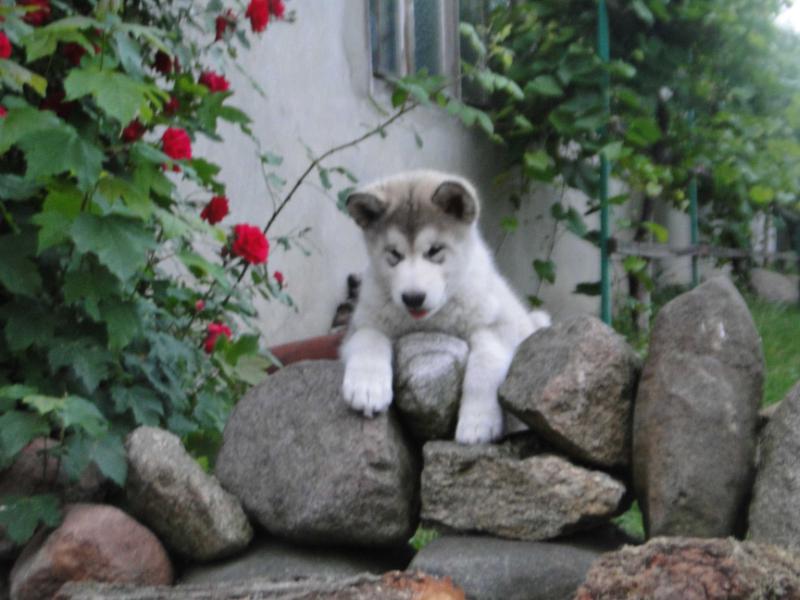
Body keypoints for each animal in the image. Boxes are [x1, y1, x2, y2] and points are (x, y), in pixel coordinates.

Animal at [338, 171, 552, 442]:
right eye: (394, 254)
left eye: (434, 250)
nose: (413, 298)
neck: (431, 321)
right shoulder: (361, 324)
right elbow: (369, 338)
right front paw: (367, 386)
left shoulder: (502, 328)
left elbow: (484, 365)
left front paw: (477, 422)